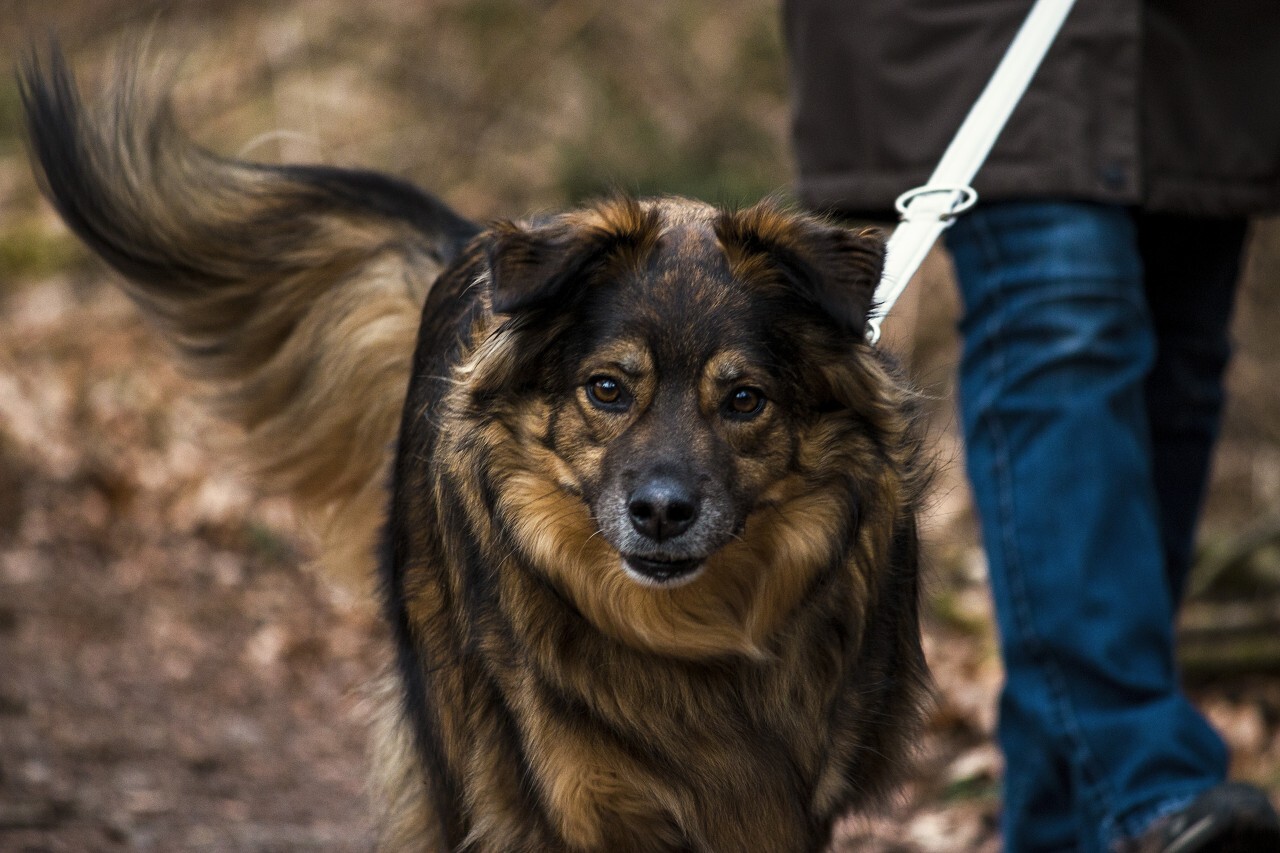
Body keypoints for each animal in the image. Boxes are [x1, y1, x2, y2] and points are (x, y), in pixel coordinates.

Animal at [20, 46, 931, 850]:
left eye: (744, 400)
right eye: (608, 389)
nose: (662, 513)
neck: (686, 636)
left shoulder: (789, 800)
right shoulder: (575, 796)